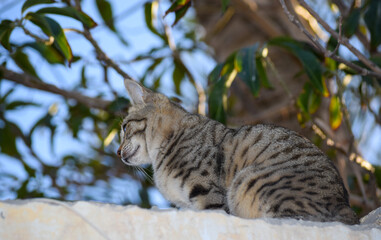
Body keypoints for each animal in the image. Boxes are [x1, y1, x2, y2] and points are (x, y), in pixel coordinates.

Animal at [117, 79, 358, 225]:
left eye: (124, 127)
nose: (117, 152)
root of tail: (345, 205)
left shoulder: (207, 193)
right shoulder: (187, 204)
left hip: (251, 180)